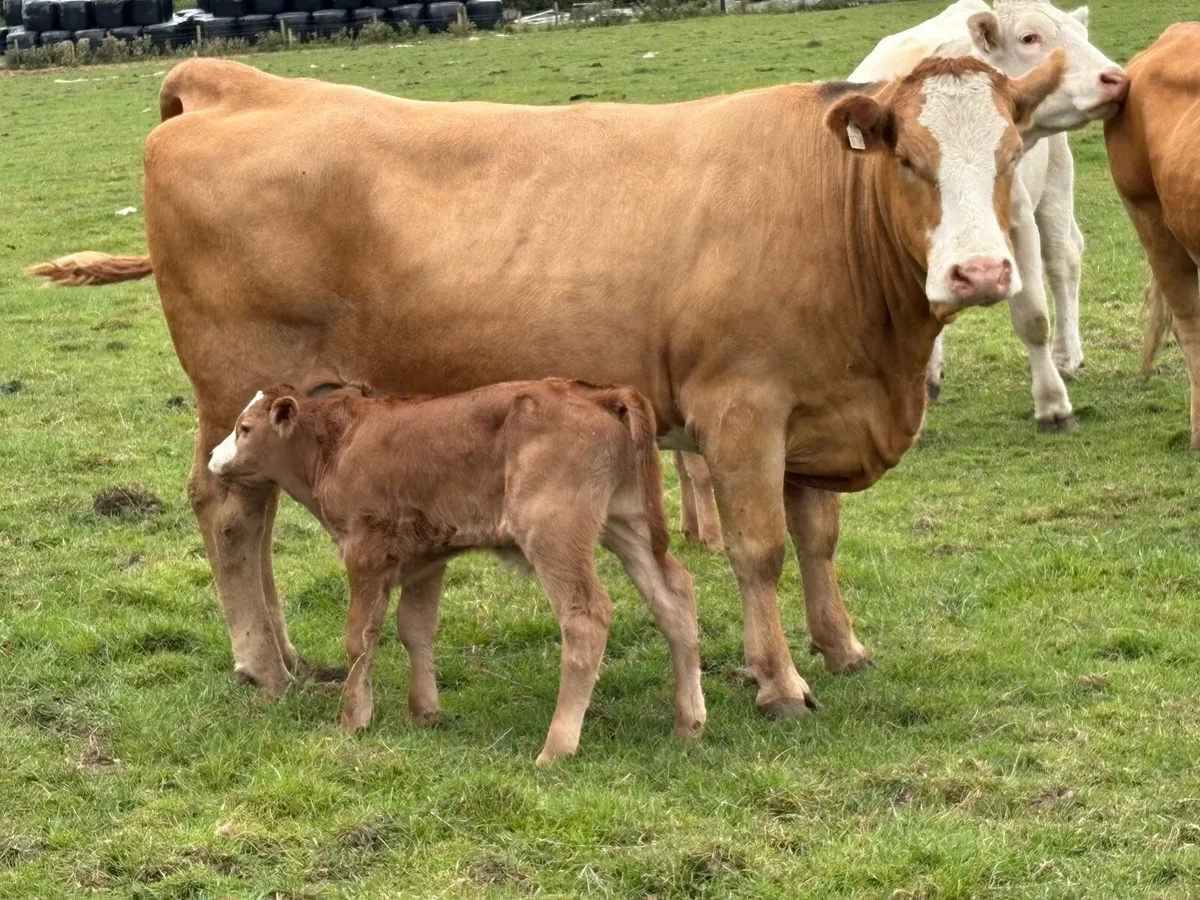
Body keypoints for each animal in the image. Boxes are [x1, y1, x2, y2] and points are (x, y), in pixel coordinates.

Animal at [28, 53, 1065, 717]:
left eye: (1011, 153)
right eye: (910, 158)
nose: (980, 272)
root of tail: (237, 84)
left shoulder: (816, 410)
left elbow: (818, 540)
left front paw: (842, 648)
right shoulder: (743, 409)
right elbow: (760, 550)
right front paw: (779, 681)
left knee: (257, 512)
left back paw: (287, 656)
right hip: (236, 386)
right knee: (230, 511)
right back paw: (262, 669)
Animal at [206, 379, 705, 764]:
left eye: (244, 429)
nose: (213, 457)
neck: (339, 443)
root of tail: (599, 394)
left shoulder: (364, 553)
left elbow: (359, 637)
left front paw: (352, 719)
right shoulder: (426, 558)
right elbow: (415, 628)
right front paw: (424, 710)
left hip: (554, 534)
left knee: (587, 617)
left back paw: (556, 747)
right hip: (628, 523)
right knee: (674, 595)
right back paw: (689, 721)